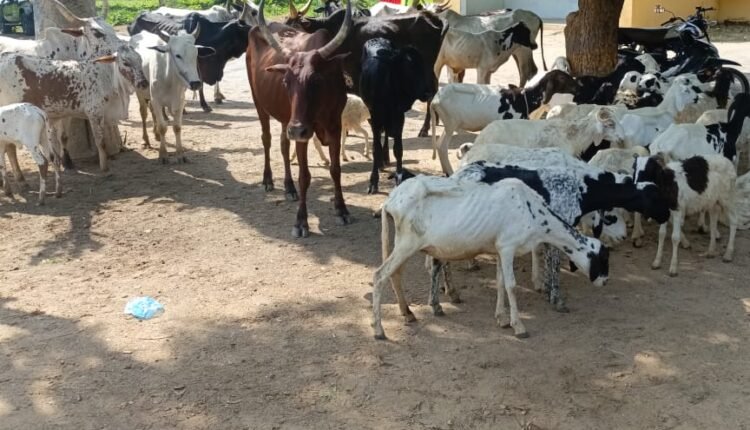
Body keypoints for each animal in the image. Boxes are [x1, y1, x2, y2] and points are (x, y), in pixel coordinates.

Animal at [131, 28, 216, 162]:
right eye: (177, 55)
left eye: (195, 54)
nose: (196, 83)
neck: (169, 78)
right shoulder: (156, 100)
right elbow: (163, 127)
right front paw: (163, 154)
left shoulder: (180, 101)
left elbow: (177, 127)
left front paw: (180, 154)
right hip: (139, 92)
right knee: (144, 113)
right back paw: (146, 140)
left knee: (152, 112)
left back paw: (156, 135)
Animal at [246, 0, 353, 238]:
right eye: (285, 81)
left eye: (316, 81)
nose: (296, 130)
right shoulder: (303, 132)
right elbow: (305, 176)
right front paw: (301, 222)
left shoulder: (335, 127)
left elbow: (336, 169)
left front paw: (341, 209)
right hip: (260, 103)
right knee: (267, 139)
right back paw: (268, 179)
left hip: (287, 119)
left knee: (283, 144)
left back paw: (289, 187)